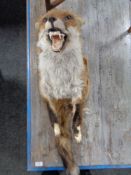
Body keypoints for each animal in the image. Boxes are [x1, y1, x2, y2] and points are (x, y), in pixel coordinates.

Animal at [35, 9, 89, 175]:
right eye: (45, 18)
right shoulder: (47, 94)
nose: (51, 19)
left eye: (68, 17)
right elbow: (53, 117)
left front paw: (76, 131)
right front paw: (57, 129)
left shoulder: (79, 92)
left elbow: (77, 114)